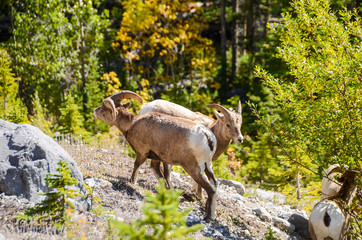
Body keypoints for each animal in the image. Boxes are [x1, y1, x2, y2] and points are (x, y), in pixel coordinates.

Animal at [93, 90, 218, 221]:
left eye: (104, 108)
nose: (94, 111)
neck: (132, 124)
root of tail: (207, 136)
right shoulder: (158, 160)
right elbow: (163, 176)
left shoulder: (142, 153)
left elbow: (136, 166)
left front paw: (132, 182)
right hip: (208, 166)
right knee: (215, 184)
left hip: (194, 169)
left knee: (211, 190)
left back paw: (209, 217)